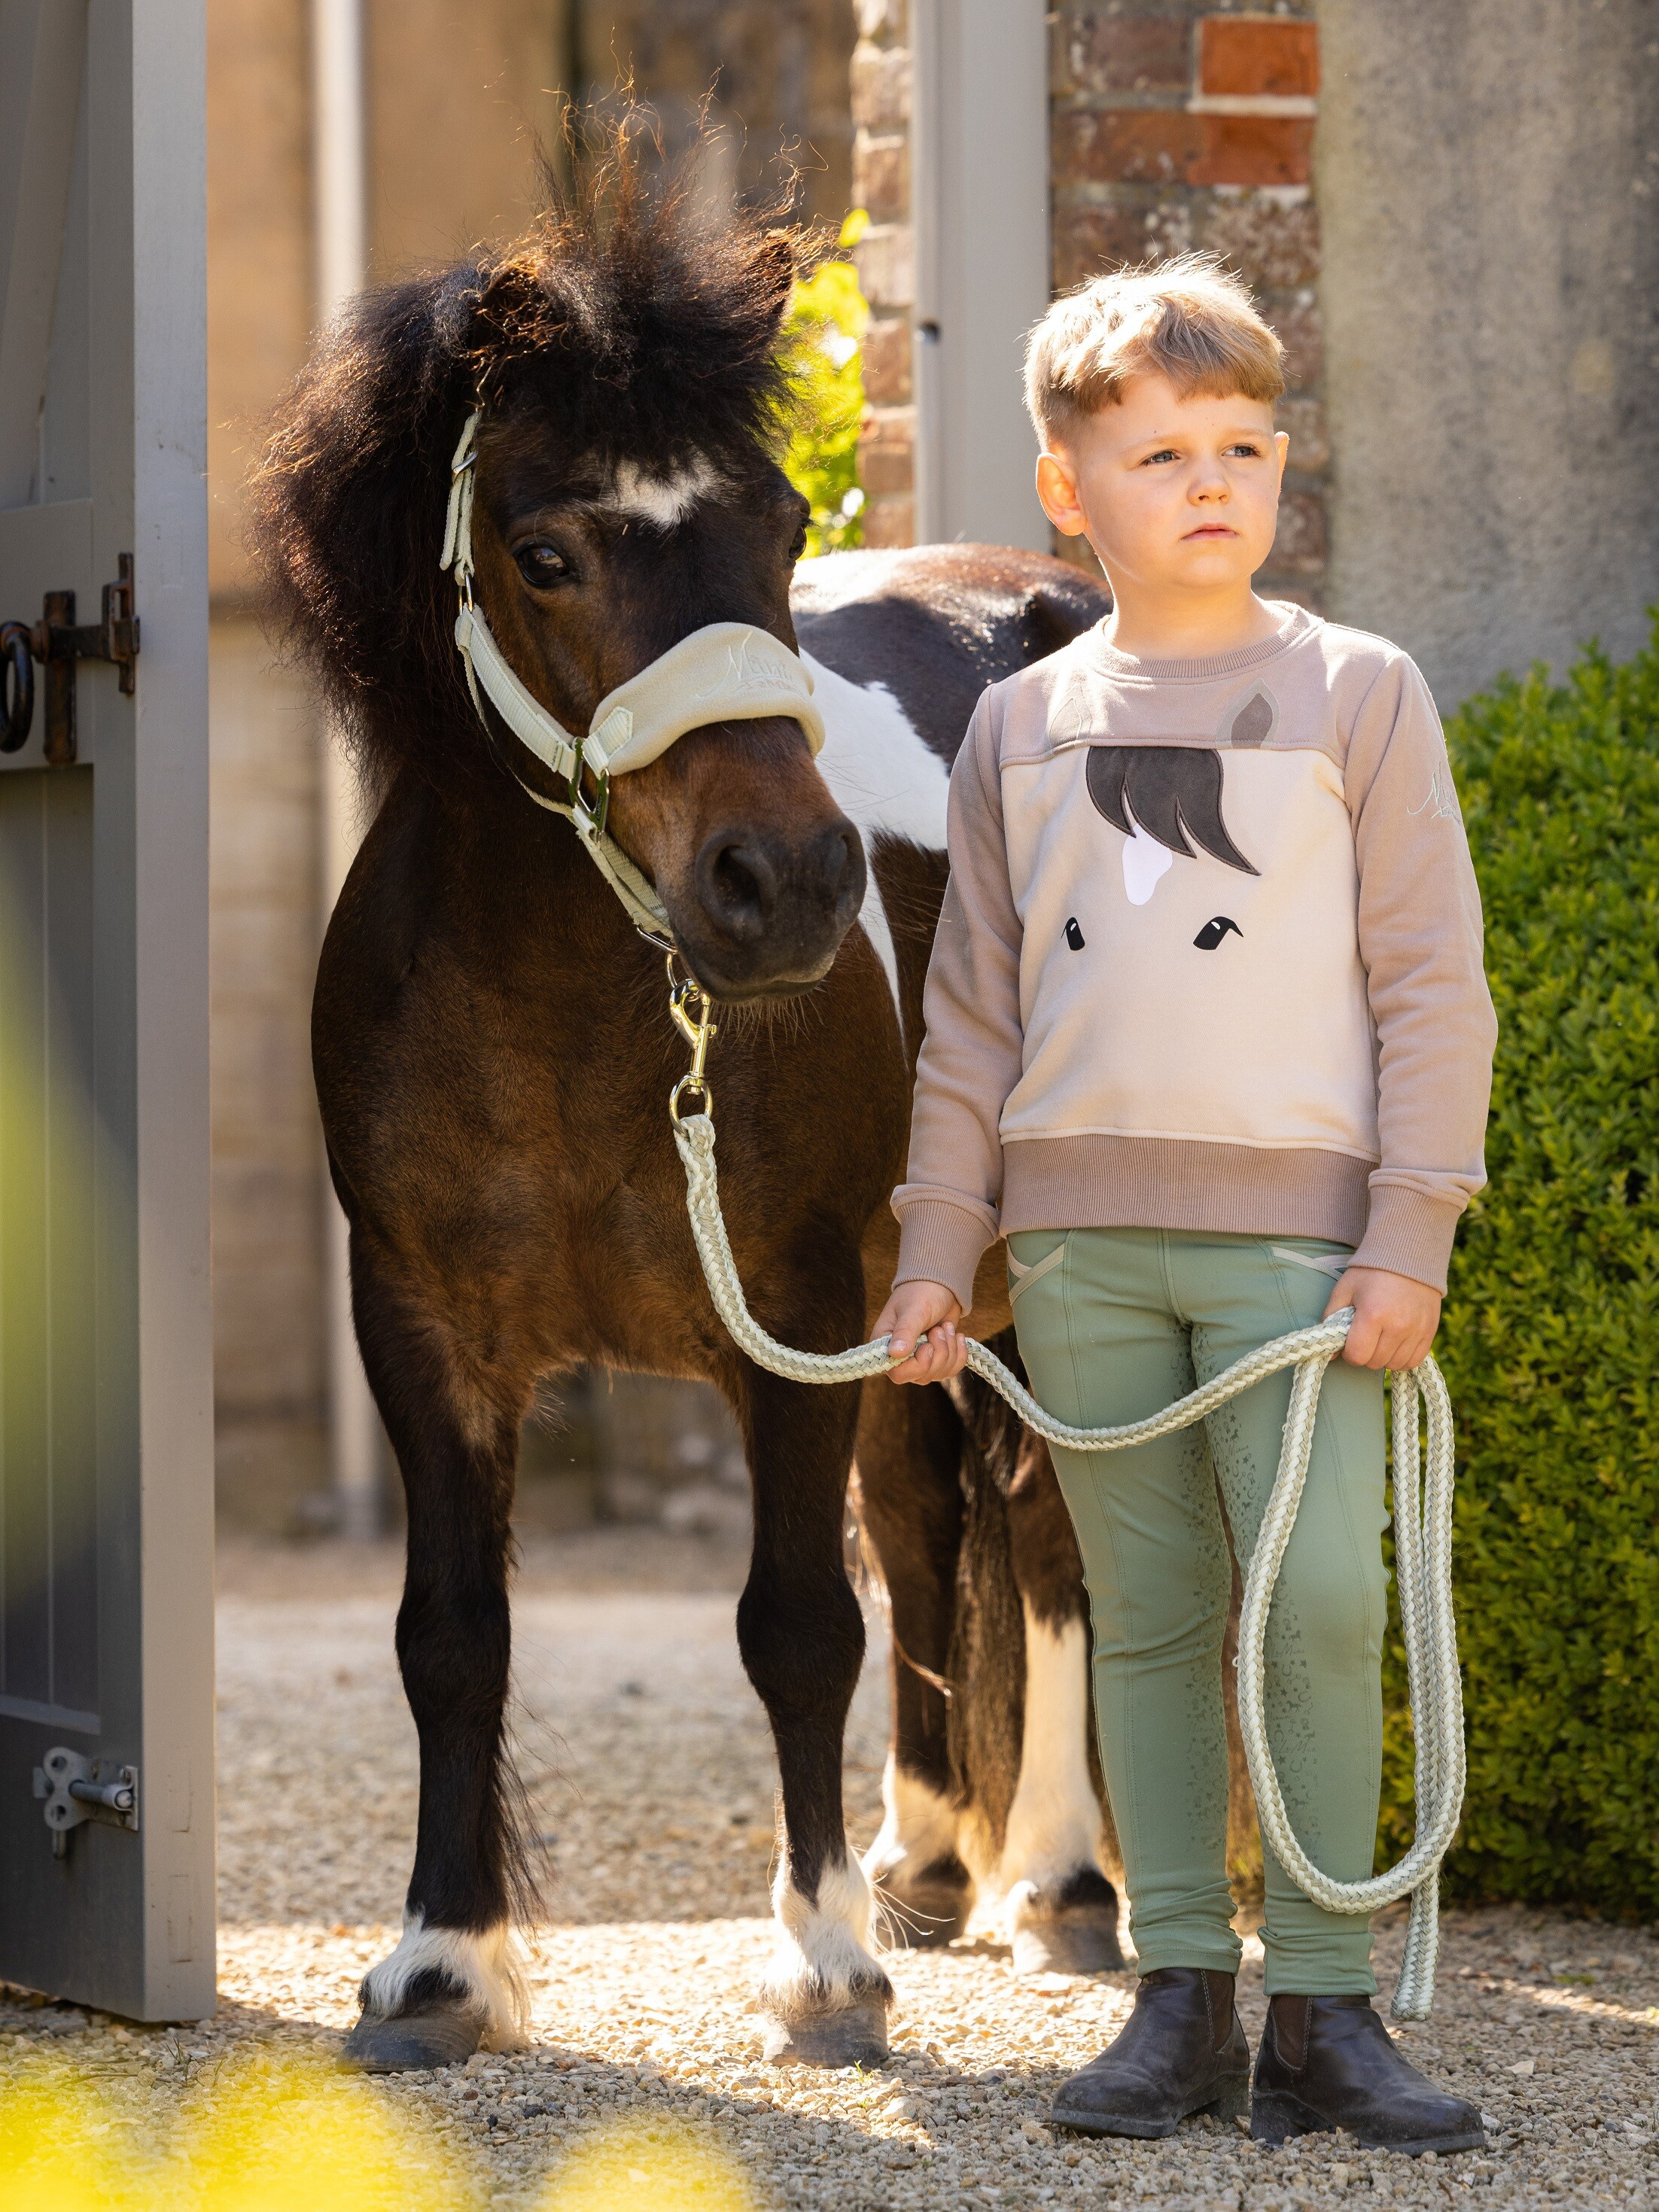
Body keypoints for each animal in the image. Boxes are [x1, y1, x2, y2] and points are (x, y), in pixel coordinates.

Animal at [251, 148, 1124, 2074]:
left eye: (783, 529)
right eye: (545, 550)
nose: (784, 883)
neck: (569, 1010)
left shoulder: (780, 1308)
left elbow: (794, 1623)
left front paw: (823, 1967)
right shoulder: (419, 1326)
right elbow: (452, 1632)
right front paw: (442, 1962)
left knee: (1047, 1534)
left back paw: (1059, 1878)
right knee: (929, 1511)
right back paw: (927, 1860)